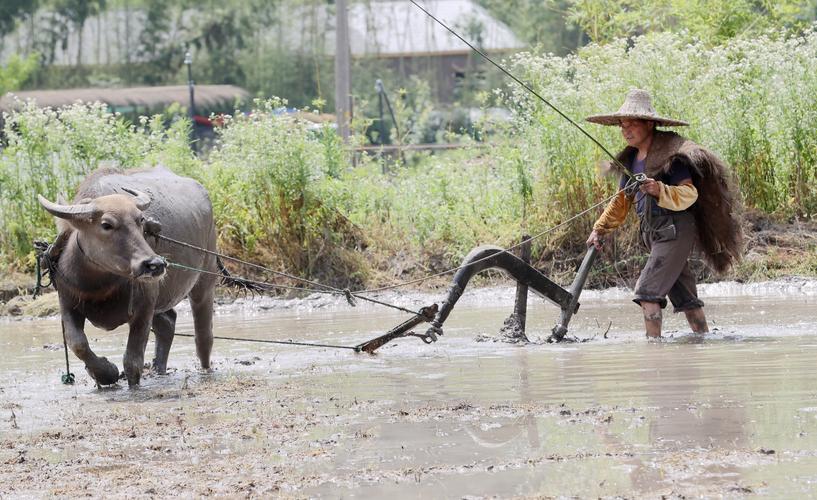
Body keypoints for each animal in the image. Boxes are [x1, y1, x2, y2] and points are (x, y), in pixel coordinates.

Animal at [38, 166, 217, 384]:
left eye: (140, 220)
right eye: (106, 225)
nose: (155, 265)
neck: (98, 286)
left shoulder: (144, 308)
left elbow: (132, 361)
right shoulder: (67, 303)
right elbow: (78, 343)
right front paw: (105, 373)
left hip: (205, 278)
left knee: (203, 334)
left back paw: (205, 369)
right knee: (167, 323)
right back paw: (159, 369)